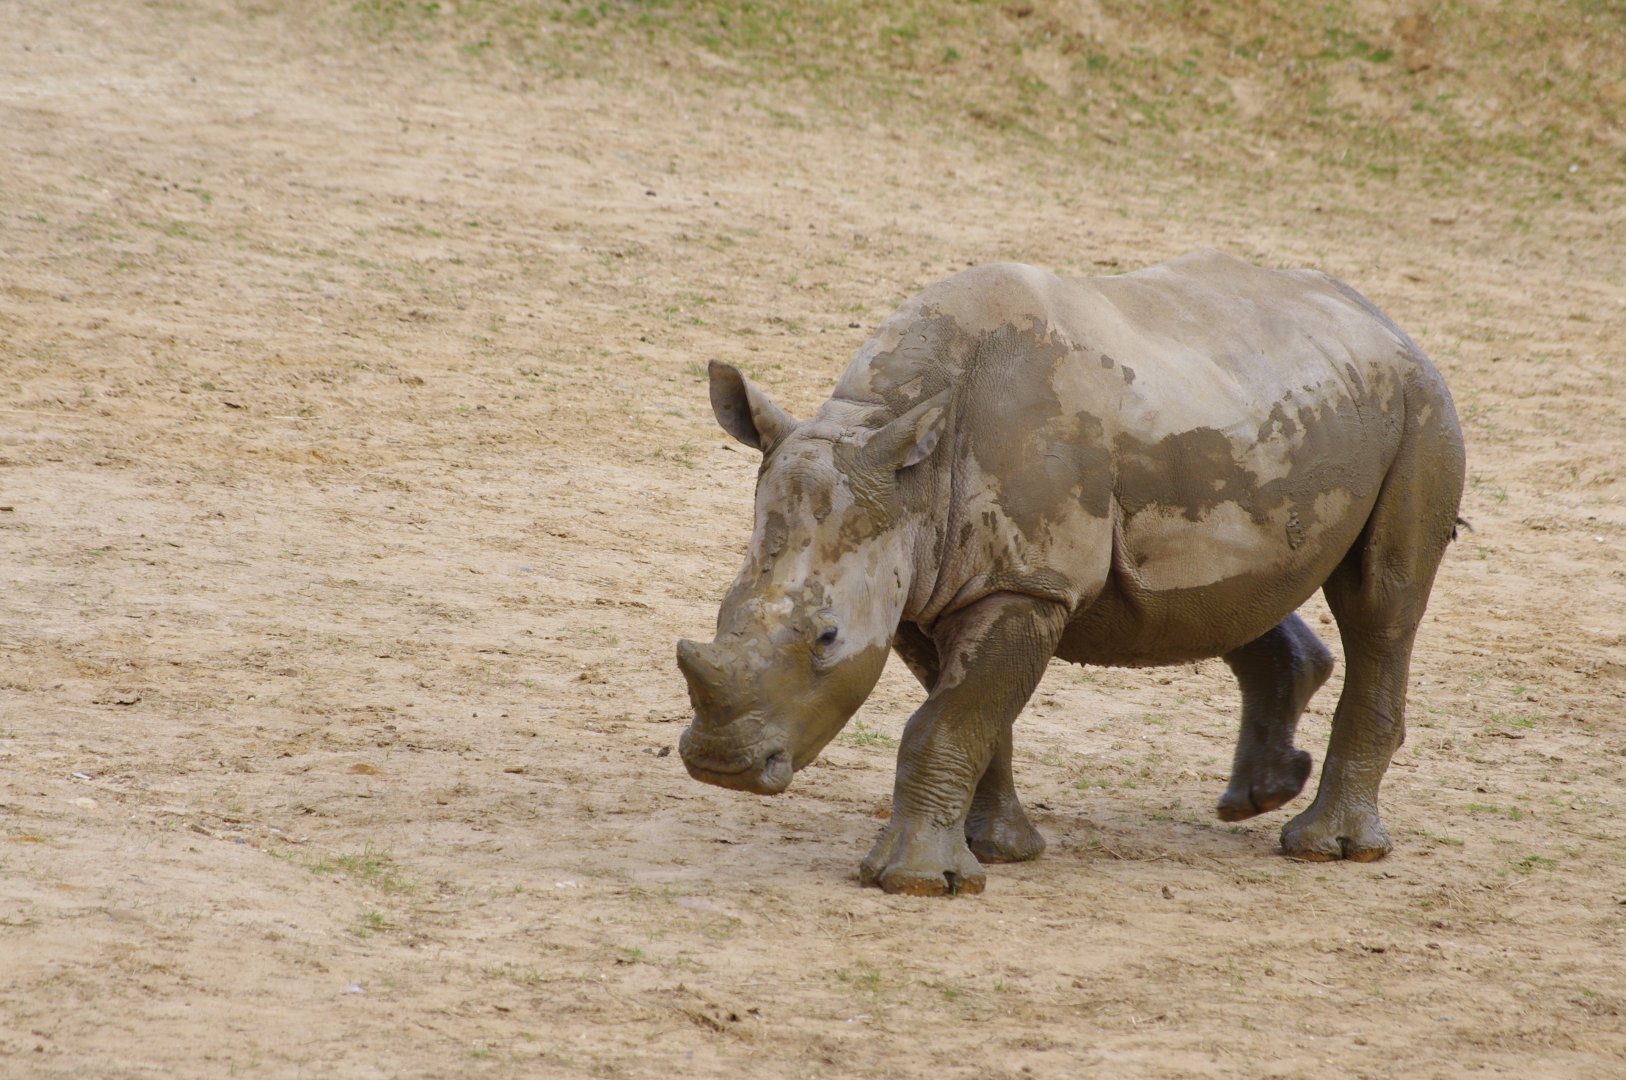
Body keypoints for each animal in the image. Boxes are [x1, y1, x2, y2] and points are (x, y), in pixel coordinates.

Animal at [677, 250, 1464, 896]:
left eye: (827, 638)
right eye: (721, 613)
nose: (721, 766)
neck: (901, 451)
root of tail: (1385, 320)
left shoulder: (1025, 582)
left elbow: (948, 719)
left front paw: (917, 882)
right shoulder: (926, 580)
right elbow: (970, 714)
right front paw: (996, 851)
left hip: (1421, 407)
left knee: (1380, 606)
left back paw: (1329, 848)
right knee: (1239, 594)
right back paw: (1258, 798)